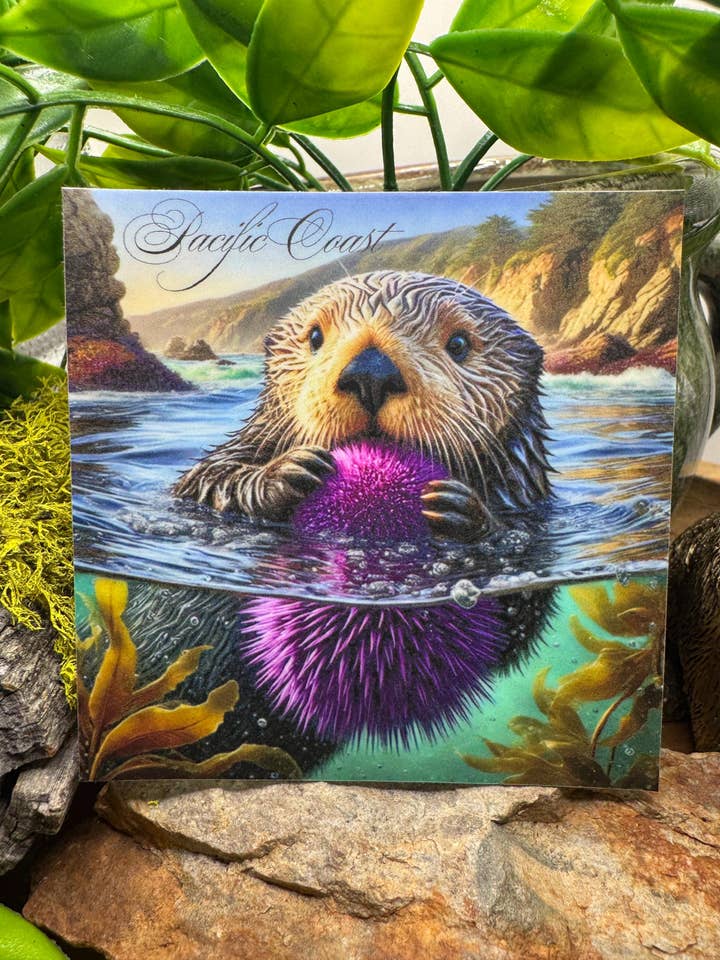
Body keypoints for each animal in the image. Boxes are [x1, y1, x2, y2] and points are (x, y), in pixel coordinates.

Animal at [174, 270, 552, 538]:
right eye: (315, 336)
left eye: (458, 343)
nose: (371, 374)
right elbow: (207, 479)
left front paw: (458, 507)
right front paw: (286, 473)